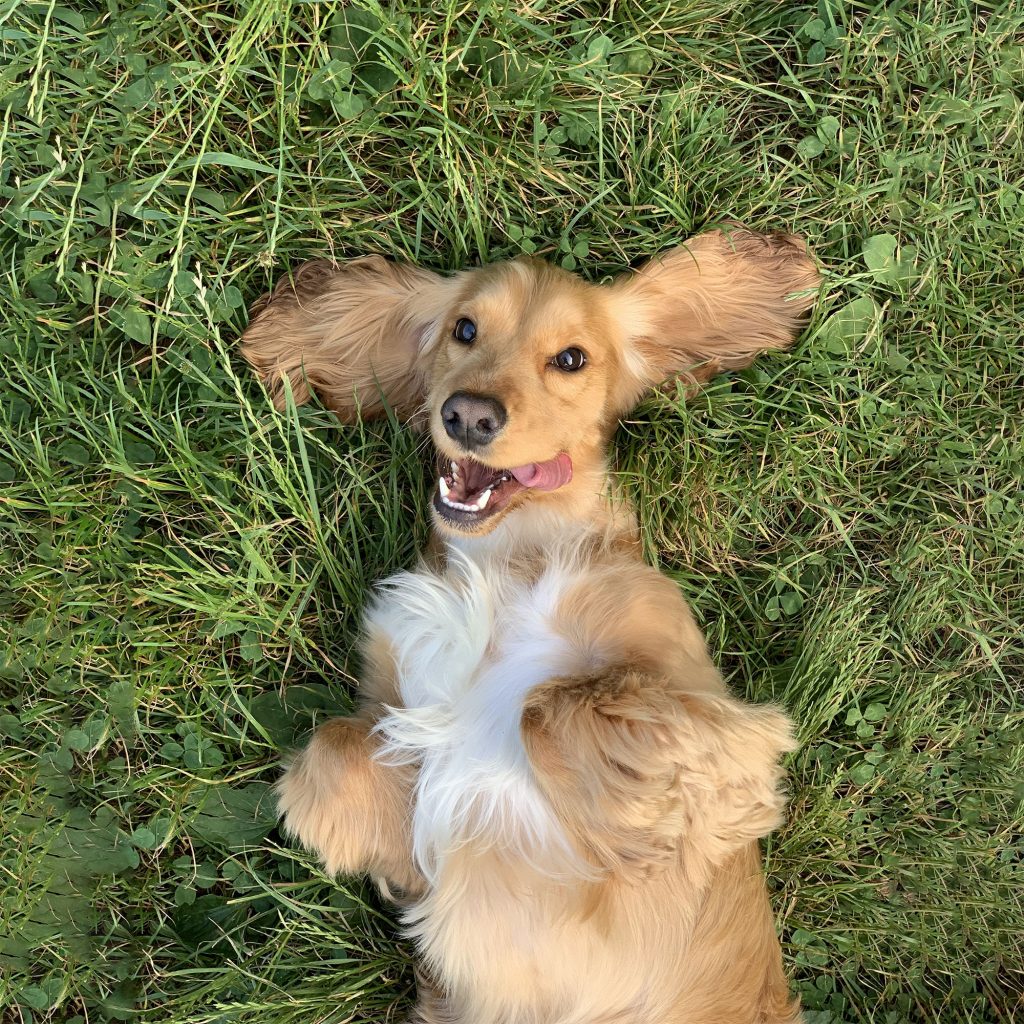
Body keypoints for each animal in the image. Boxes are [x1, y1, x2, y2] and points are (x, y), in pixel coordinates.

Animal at [237, 226, 815, 1024]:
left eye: (570, 359)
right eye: (464, 330)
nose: (468, 415)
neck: (507, 558)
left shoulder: (724, 726)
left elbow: (548, 704)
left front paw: (631, 825)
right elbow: (333, 748)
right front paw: (384, 844)